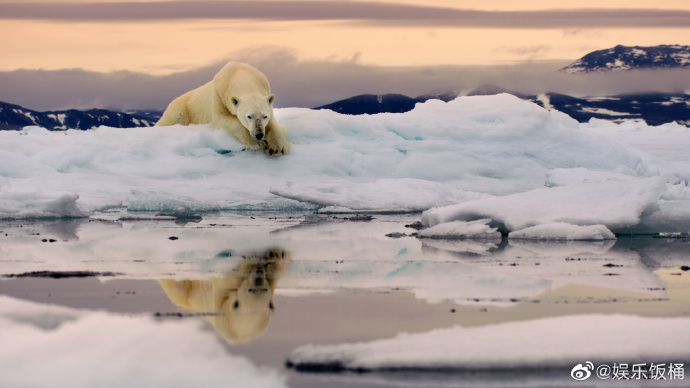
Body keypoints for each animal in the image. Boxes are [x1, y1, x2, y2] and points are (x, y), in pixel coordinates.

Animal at [156, 61, 288, 155]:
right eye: (249, 116)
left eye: (264, 116)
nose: (259, 134)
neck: (240, 73)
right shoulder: (219, 96)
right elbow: (223, 118)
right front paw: (259, 143)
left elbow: (272, 124)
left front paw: (276, 147)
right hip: (182, 108)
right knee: (172, 118)